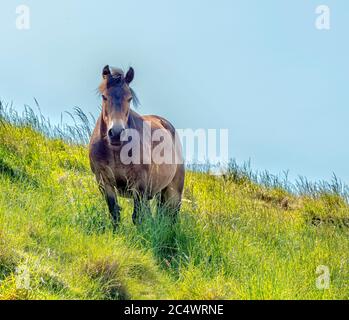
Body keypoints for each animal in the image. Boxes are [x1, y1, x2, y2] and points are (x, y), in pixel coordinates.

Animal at [88, 65, 184, 228]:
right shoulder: (104, 182)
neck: (115, 151)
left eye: (129, 98)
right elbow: (114, 213)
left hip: (173, 192)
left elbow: (137, 217)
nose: (116, 133)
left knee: (171, 216)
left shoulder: (139, 185)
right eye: (104, 96)